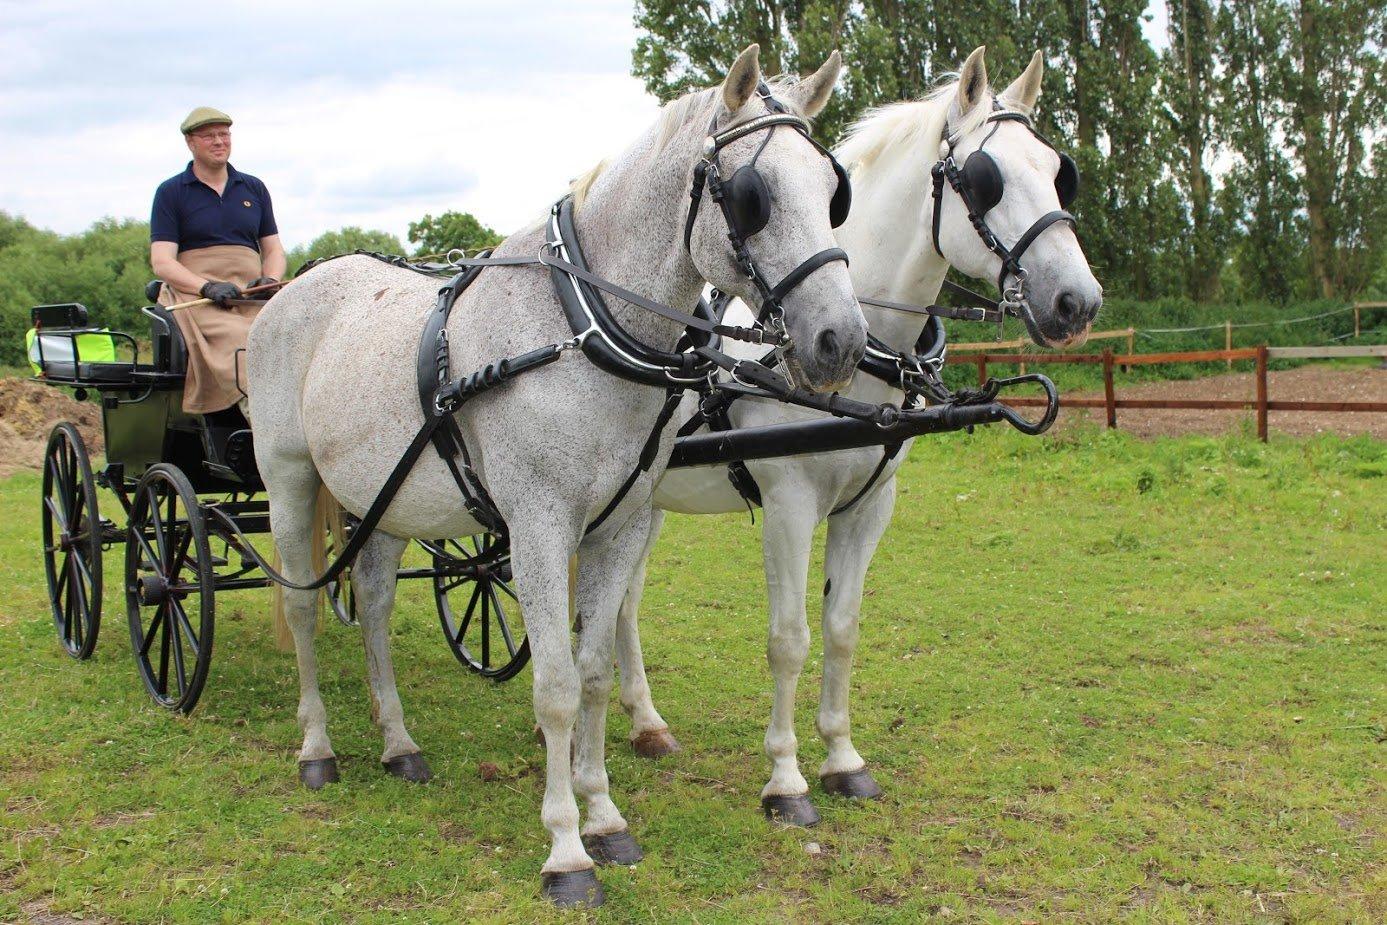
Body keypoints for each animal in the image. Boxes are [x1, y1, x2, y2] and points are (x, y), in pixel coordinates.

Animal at [245, 44, 867, 907]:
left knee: (371, 604)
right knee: (304, 609)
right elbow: (556, 687)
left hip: (384, 499)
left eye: (831, 189)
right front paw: (566, 849)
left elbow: (596, 672)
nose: (840, 339)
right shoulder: (538, 529)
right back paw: (317, 747)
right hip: (289, 480)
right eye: (753, 196)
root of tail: (290, 291)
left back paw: (398, 742)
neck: (581, 327)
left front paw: (603, 815)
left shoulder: (621, 524)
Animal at [613, 47, 1103, 825]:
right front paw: (785, 780)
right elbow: (789, 639)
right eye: (984, 179)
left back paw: (645, 722)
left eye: (1058, 170)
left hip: (646, 502)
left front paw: (843, 759)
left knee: (621, 605)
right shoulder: (787, 504)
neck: (863, 349)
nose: (1077, 301)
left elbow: (842, 627)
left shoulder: (871, 505)